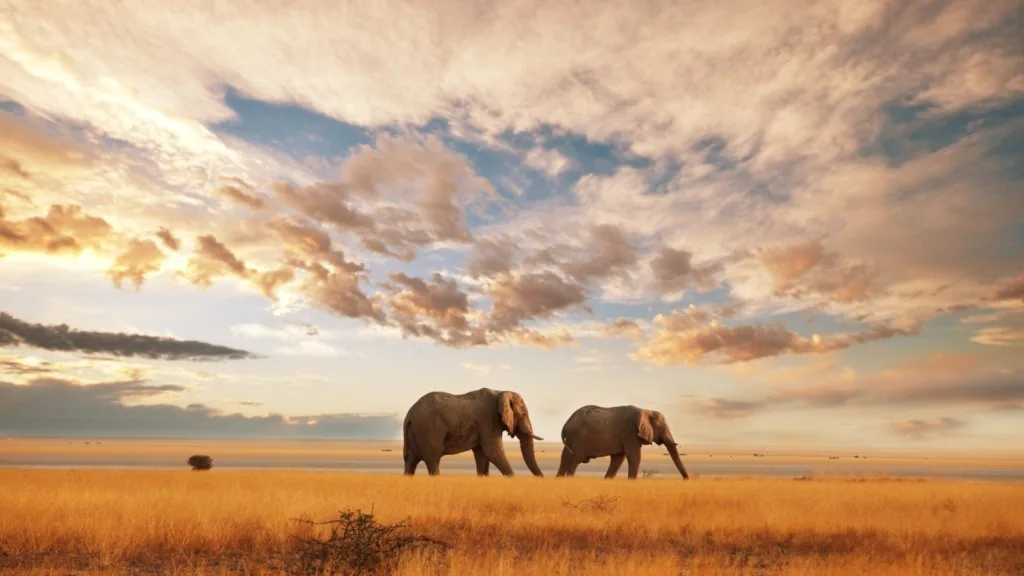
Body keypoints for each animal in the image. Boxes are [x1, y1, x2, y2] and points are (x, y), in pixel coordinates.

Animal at [402, 387, 545, 477]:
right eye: (524, 414)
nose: (542, 479)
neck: (500, 392)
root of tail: (409, 414)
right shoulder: (488, 420)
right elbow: (492, 451)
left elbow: (482, 455)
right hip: (428, 430)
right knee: (433, 460)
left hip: (415, 432)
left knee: (411, 461)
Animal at [556, 405, 690, 480]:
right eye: (662, 427)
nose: (686, 479)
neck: (645, 410)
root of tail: (566, 424)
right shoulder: (629, 433)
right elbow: (634, 456)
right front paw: (632, 481)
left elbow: (618, 458)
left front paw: (607, 480)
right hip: (579, 437)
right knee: (576, 459)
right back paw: (569, 479)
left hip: (572, 437)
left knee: (565, 457)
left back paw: (559, 479)